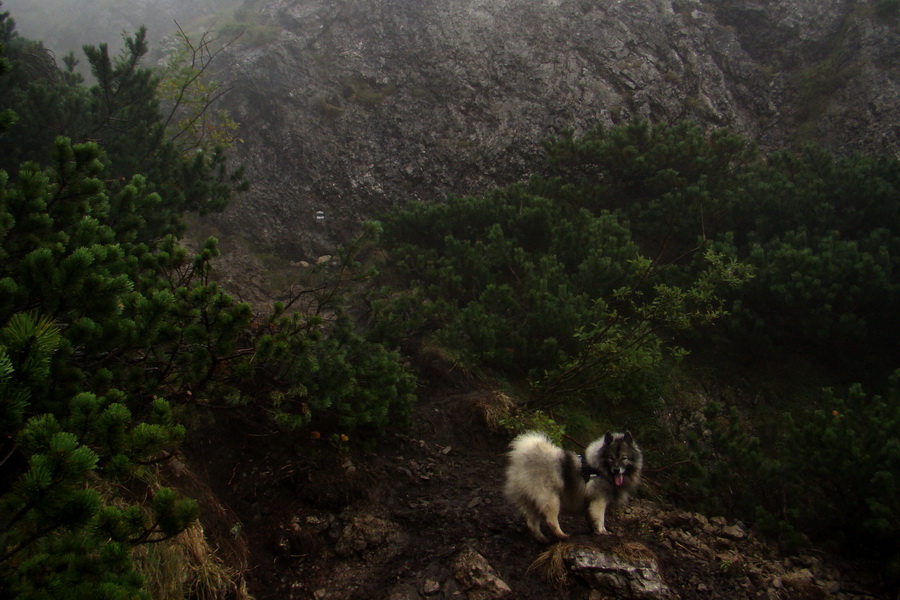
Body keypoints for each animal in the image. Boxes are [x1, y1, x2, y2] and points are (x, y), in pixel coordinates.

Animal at [502, 428, 644, 540]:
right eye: (611, 458)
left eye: (624, 458)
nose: (616, 469)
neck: (600, 469)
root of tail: (522, 461)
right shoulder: (599, 500)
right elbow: (599, 518)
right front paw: (602, 532)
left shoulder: (590, 502)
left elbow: (591, 518)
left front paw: (593, 531)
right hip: (550, 498)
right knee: (551, 520)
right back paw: (561, 535)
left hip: (530, 501)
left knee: (532, 522)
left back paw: (542, 538)